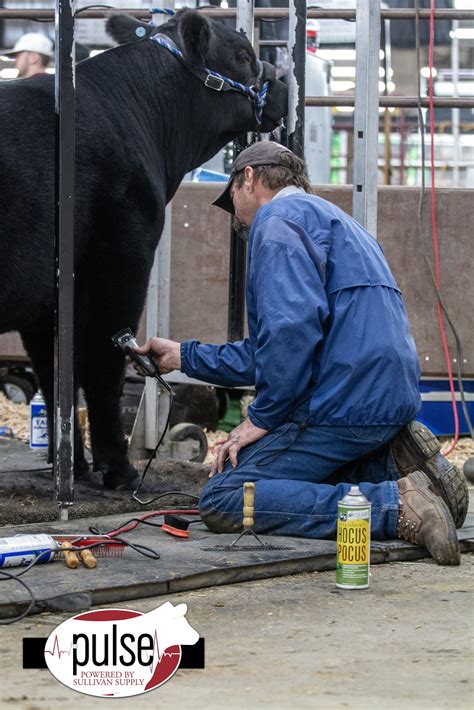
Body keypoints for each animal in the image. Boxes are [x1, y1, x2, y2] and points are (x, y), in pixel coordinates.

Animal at [0, 9, 286, 490]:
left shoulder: (46, 303)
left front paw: (72, 466)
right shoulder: (121, 265)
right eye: (243, 55)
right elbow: (101, 368)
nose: (285, 82)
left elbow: (55, 372)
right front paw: (118, 469)